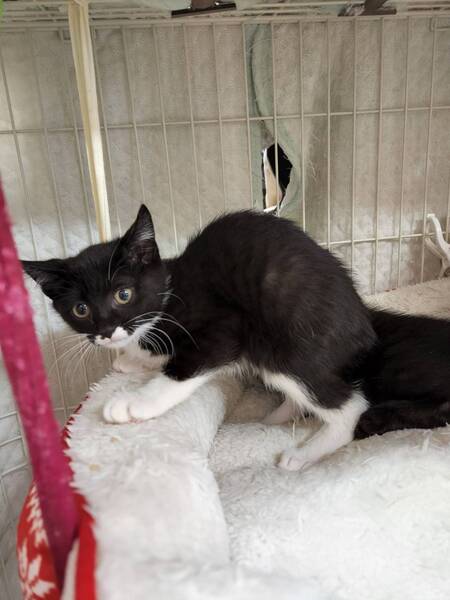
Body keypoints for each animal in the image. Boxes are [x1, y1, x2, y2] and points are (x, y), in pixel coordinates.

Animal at [22, 206, 450, 470]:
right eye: (80, 310)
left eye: (123, 294)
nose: (107, 331)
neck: (169, 292)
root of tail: (365, 325)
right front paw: (131, 356)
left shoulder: (223, 328)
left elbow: (179, 371)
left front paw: (135, 402)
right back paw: (277, 415)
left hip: (282, 344)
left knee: (349, 406)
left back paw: (303, 453)